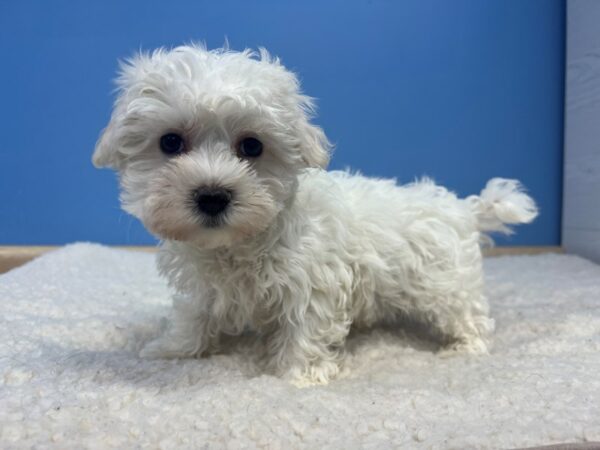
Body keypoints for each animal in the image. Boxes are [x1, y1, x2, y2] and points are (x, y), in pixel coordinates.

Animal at [95, 44, 540, 384]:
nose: (212, 195)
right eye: (170, 142)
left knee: (470, 315)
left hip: (445, 284)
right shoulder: (203, 285)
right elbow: (193, 314)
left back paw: (464, 349)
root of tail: (463, 207)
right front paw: (174, 349)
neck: (239, 244)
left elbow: (305, 327)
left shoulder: (313, 282)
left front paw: (297, 376)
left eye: (252, 146)